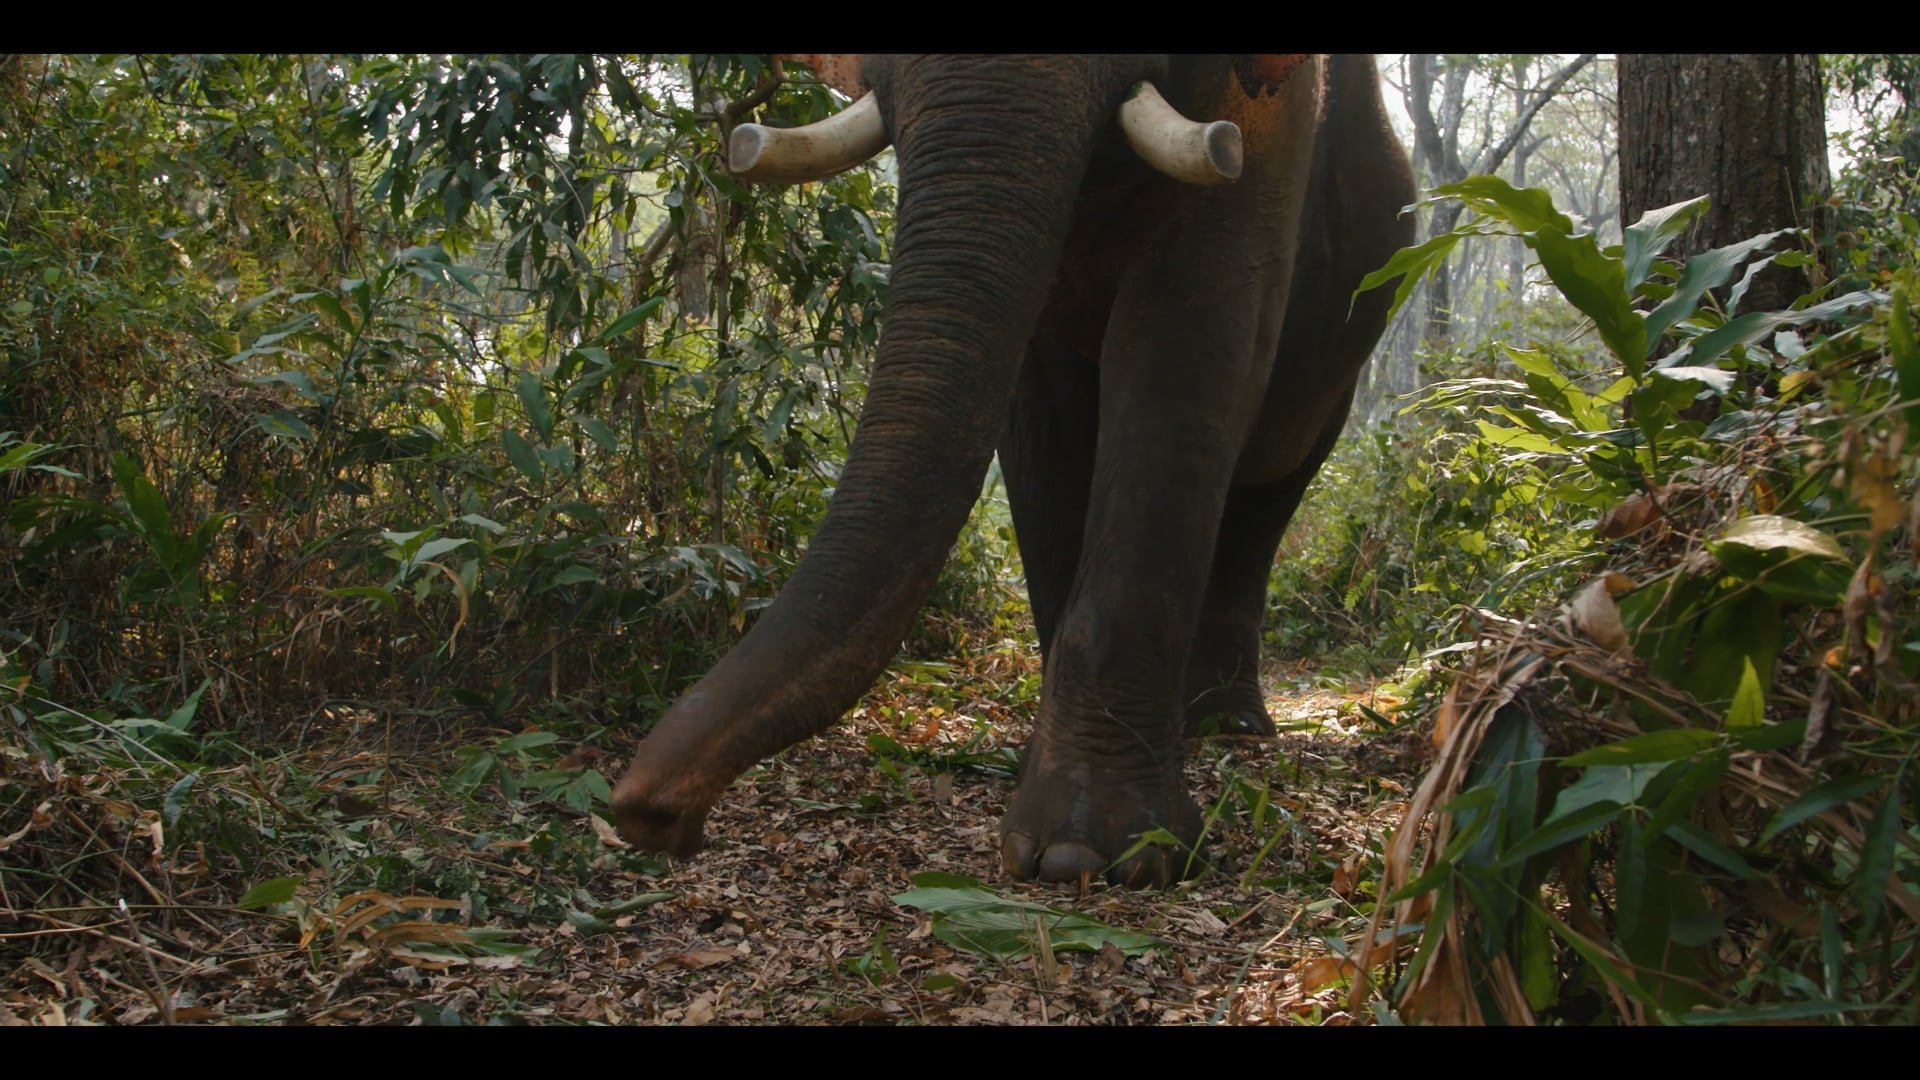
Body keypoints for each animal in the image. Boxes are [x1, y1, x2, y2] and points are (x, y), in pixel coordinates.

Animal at [612, 54, 1415, 887]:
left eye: (662, 818)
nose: (653, 816)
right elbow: (1039, 420)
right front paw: (1043, 777)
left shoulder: (1272, 127)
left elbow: (1186, 342)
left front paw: (1094, 850)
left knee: (1271, 488)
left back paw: (1230, 729)